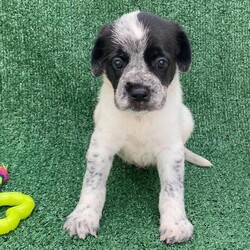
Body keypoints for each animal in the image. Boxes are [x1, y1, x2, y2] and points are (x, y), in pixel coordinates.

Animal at [64, 10, 211, 243]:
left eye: (161, 62)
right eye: (117, 62)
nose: (139, 92)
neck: (139, 119)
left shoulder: (170, 149)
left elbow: (172, 188)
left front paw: (175, 223)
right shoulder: (101, 144)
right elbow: (93, 182)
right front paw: (83, 217)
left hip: (187, 119)